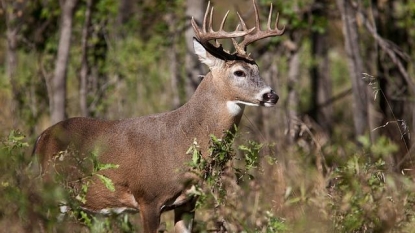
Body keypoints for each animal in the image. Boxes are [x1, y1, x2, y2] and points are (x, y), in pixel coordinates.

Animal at [32, 0, 286, 232]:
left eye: (258, 69)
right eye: (239, 72)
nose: (272, 95)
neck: (182, 138)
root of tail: (41, 138)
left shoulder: (188, 202)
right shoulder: (148, 198)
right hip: (51, 190)